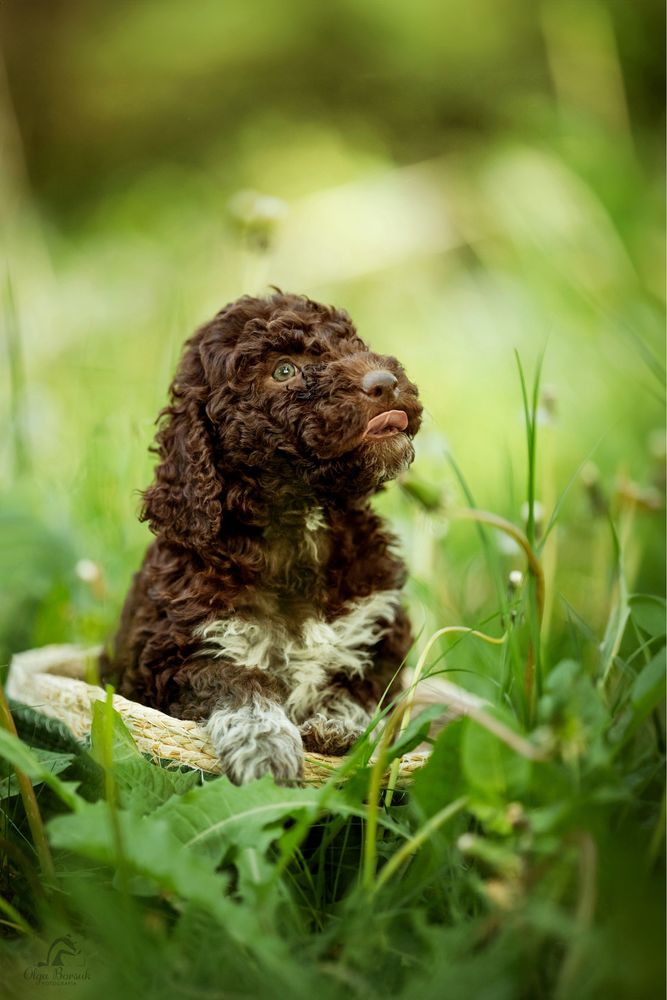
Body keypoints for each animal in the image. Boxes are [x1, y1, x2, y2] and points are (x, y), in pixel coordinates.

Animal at [99, 292, 422, 784]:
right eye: (283, 370)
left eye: (353, 344)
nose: (385, 383)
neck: (299, 524)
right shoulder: (181, 653)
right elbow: (242, 684)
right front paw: (266, 750)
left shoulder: (380, 635)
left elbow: (358, 688)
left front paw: (334, 726)